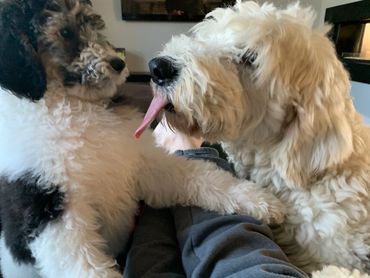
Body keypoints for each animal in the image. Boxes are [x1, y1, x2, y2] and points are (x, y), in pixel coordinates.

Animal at [0, 1, 284, 276]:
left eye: (93, 25)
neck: (76, 106)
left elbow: (200, 176)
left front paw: (260, 201)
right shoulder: (48, 207)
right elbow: (83, 264)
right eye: (66, 32)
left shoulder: (143, 162)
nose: (117, 63)